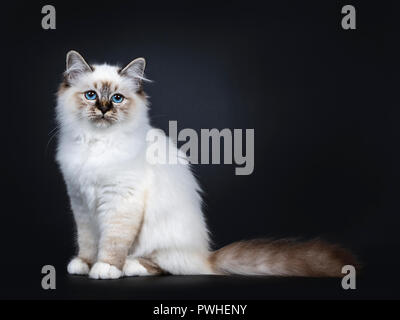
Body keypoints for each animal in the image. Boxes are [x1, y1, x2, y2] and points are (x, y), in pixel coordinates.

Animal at [54, 51, 358, 278]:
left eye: (117, 98)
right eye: (91, 95)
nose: (104, 108)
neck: (97, 143)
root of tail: (206, 256)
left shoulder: (120, 201)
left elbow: (112, 242)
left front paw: (105, 267)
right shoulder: (80, 201)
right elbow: (88, 241)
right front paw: (85, 264)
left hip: (158, 239)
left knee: (164, 266)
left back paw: (131, 266)